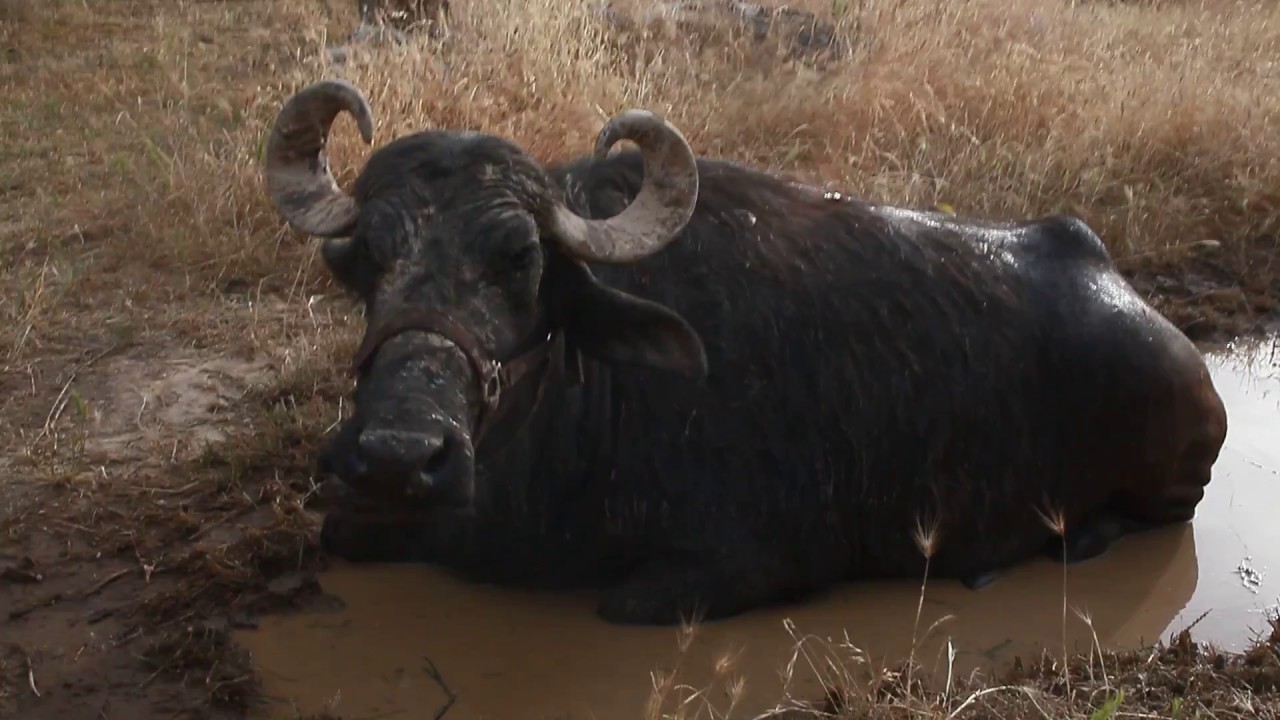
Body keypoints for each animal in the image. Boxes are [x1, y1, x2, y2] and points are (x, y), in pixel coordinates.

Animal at [263, 79, 1228, 625]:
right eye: (360, 259)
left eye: (520, 260)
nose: (400, 453)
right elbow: (341, 527)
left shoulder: (737, 567)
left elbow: (627, 600)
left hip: (1172, 476)